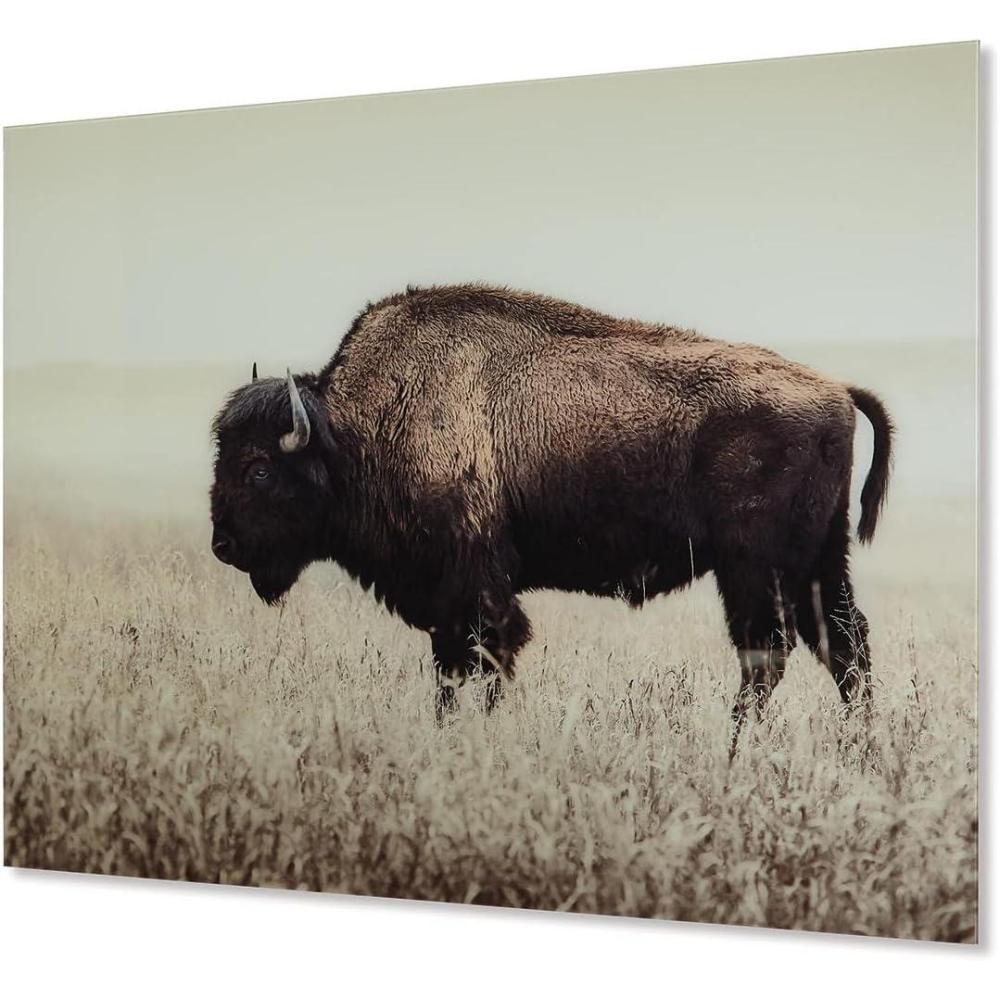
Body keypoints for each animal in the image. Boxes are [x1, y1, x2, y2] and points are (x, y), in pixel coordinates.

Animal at [210, 284, 892, 737]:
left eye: (259, 468)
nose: (224, 546)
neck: (353, 433)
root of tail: (836, 389)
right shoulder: (447, 602)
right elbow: (450, 671)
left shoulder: (475, 589)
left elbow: (483, 660)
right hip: (818, 562)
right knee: (842, 644)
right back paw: (856, 748)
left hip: (755, 568)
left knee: (769, 653)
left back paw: (737, 746)